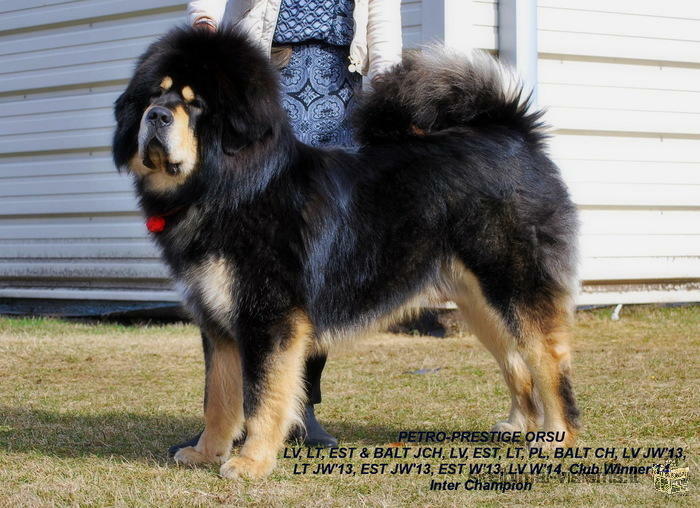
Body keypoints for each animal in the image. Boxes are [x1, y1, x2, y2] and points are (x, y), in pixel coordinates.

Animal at [113, 27, 580, 480]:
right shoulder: (219, 322)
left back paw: (555, 438)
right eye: (156, 95)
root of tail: (514, 133)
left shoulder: (269, 319)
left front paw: (251, 463)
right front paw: (205, 453)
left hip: (514, 286)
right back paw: (518, 425)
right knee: (515, 361)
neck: (233, 188)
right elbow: (219, 399)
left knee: (547, 360)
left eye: (195, 105)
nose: (156, 116)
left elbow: (263, 397)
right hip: (481, 302)